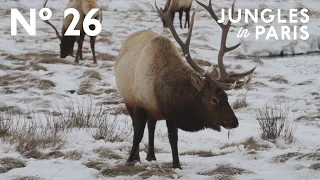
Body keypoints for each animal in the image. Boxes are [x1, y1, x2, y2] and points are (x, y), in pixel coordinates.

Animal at [114, 0, 256, 169]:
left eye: (226, 97)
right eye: (214, 99)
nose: (234, 122)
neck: (162, 93)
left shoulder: (171, 114)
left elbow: (173, 139)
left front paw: (177, 165)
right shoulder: (139, 104)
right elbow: (138, 134)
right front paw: (131, 159)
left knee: (151, 127)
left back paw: (151, 156)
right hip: (128, 100)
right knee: (140, 127)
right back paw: (141, 157)